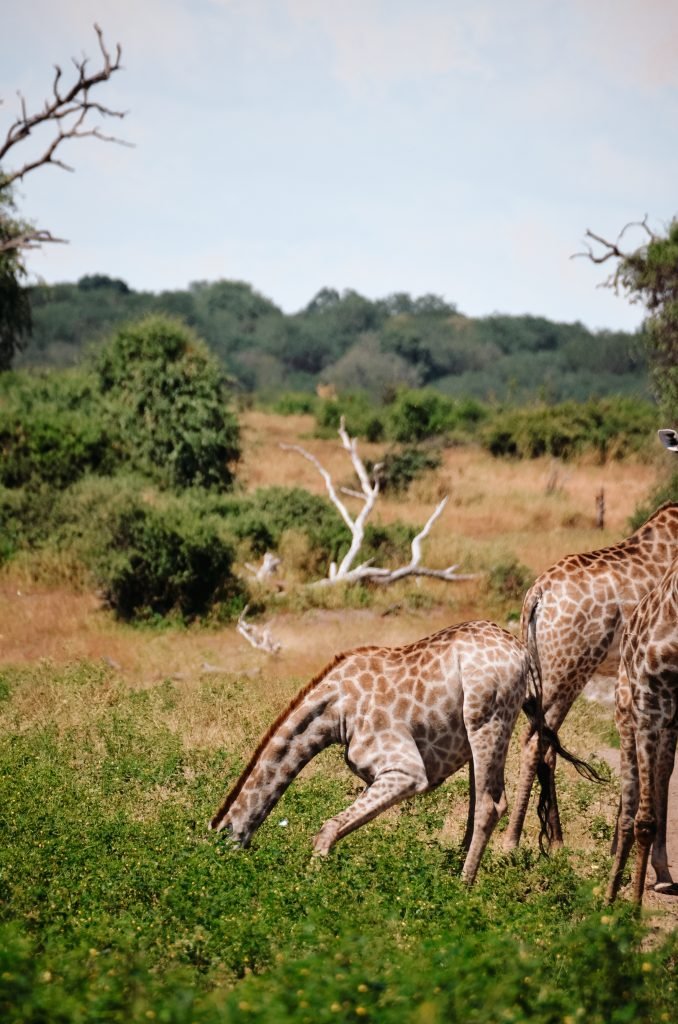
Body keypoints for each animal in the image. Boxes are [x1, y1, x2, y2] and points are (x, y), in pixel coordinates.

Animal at [209, 620, 591, 884]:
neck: (334, 711)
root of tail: (522, 653)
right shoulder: (379, 775)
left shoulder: (406, 770)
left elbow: (327, 828)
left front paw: (310, 884)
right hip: (480, 731)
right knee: (478, 803)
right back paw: (451, 872)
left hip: (487, 718)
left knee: (490, 803)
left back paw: (462, 888)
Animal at [503, 501, 678, 852]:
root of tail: (537, 595)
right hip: (569, 671)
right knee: (535, 742)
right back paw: (511, 842)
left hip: (548, 672)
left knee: (545, 745)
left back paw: (557, 843)